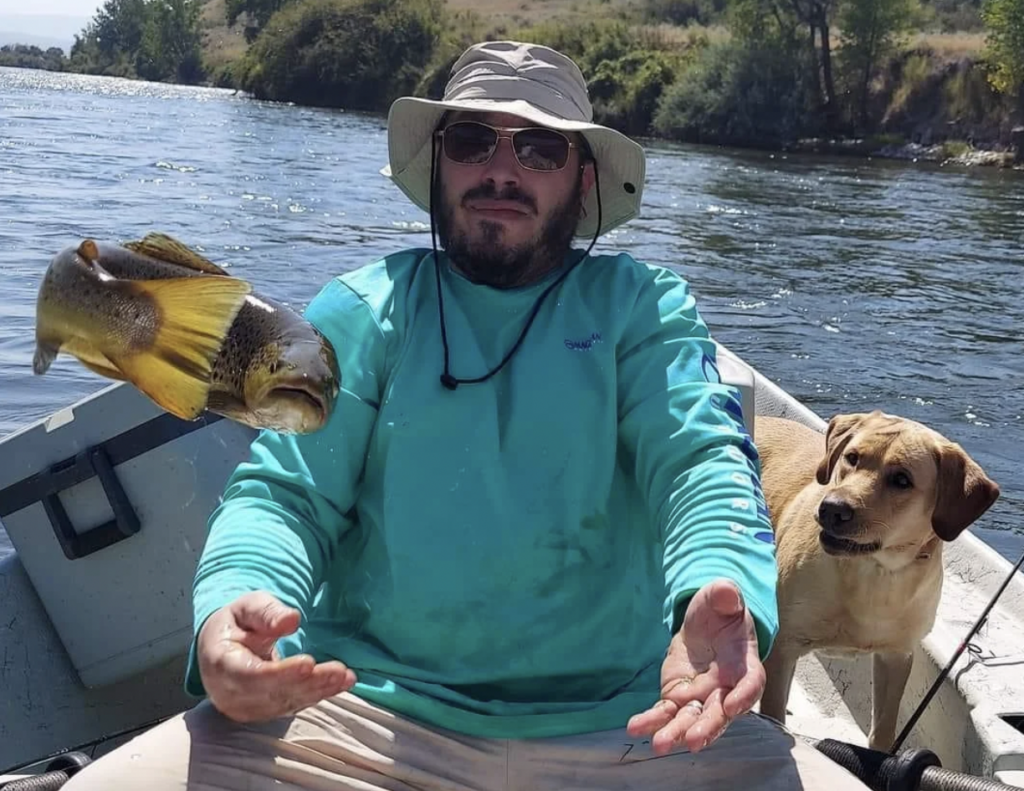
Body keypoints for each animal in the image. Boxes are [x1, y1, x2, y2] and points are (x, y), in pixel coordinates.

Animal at [753, 411, 999, 750]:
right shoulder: (784, 646)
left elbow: (883, 730)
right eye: (852, 457)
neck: (875, 571)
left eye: (902, 480)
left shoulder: (896, 657)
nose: (831, 509)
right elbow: (773, 713)